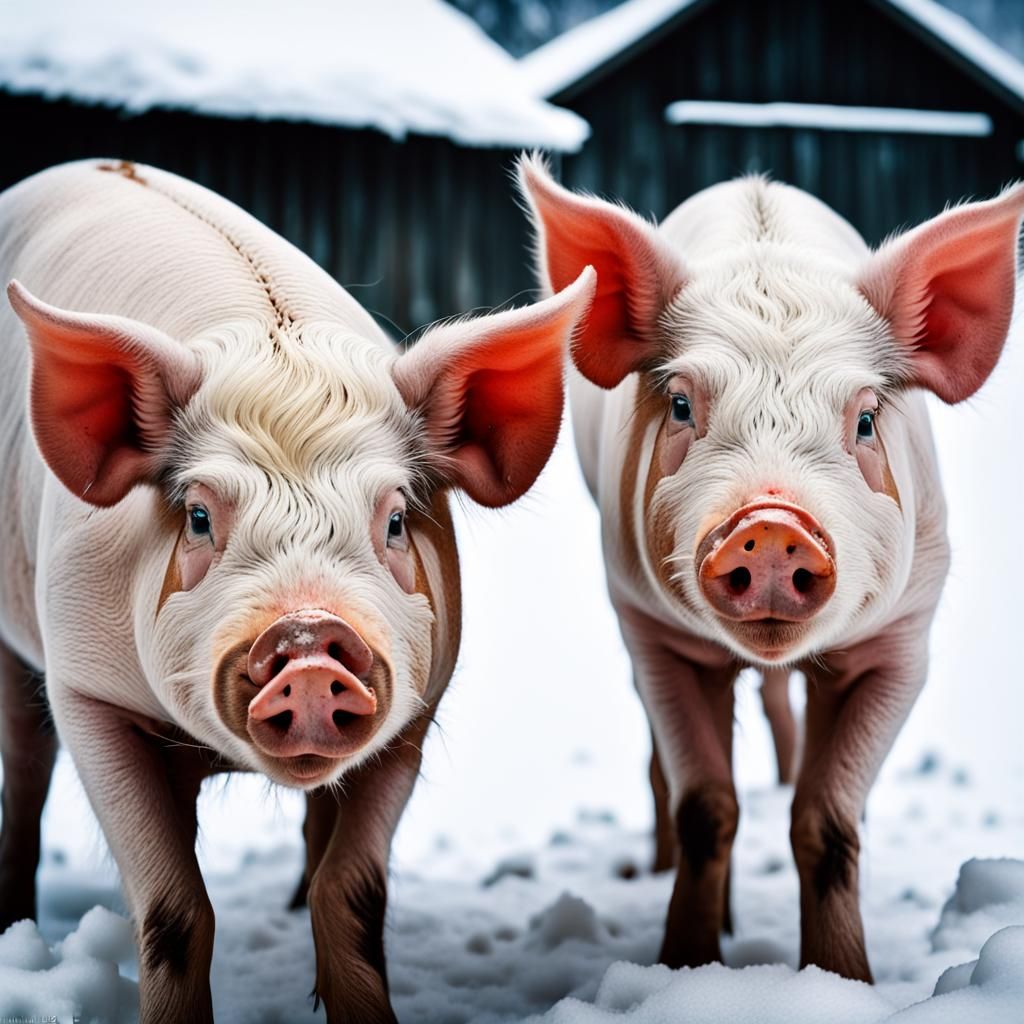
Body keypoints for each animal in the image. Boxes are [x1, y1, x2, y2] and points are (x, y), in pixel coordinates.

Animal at [0, 158, 595, 1023]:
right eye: (200, 516)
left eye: (393, 520)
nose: (310, 638)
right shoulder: (86, 692)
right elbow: (173, 907)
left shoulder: (415, 712)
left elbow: (352, 891)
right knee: (25, 769)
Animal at [519, 155, 1024, 981]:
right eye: (682, 405)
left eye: (865, 418)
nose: (771, 524)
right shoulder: (652, 628)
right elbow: (706, 806)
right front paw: (686, 966)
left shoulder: (901, 643)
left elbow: (828, 822)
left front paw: (841, 979)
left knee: (782, 708)